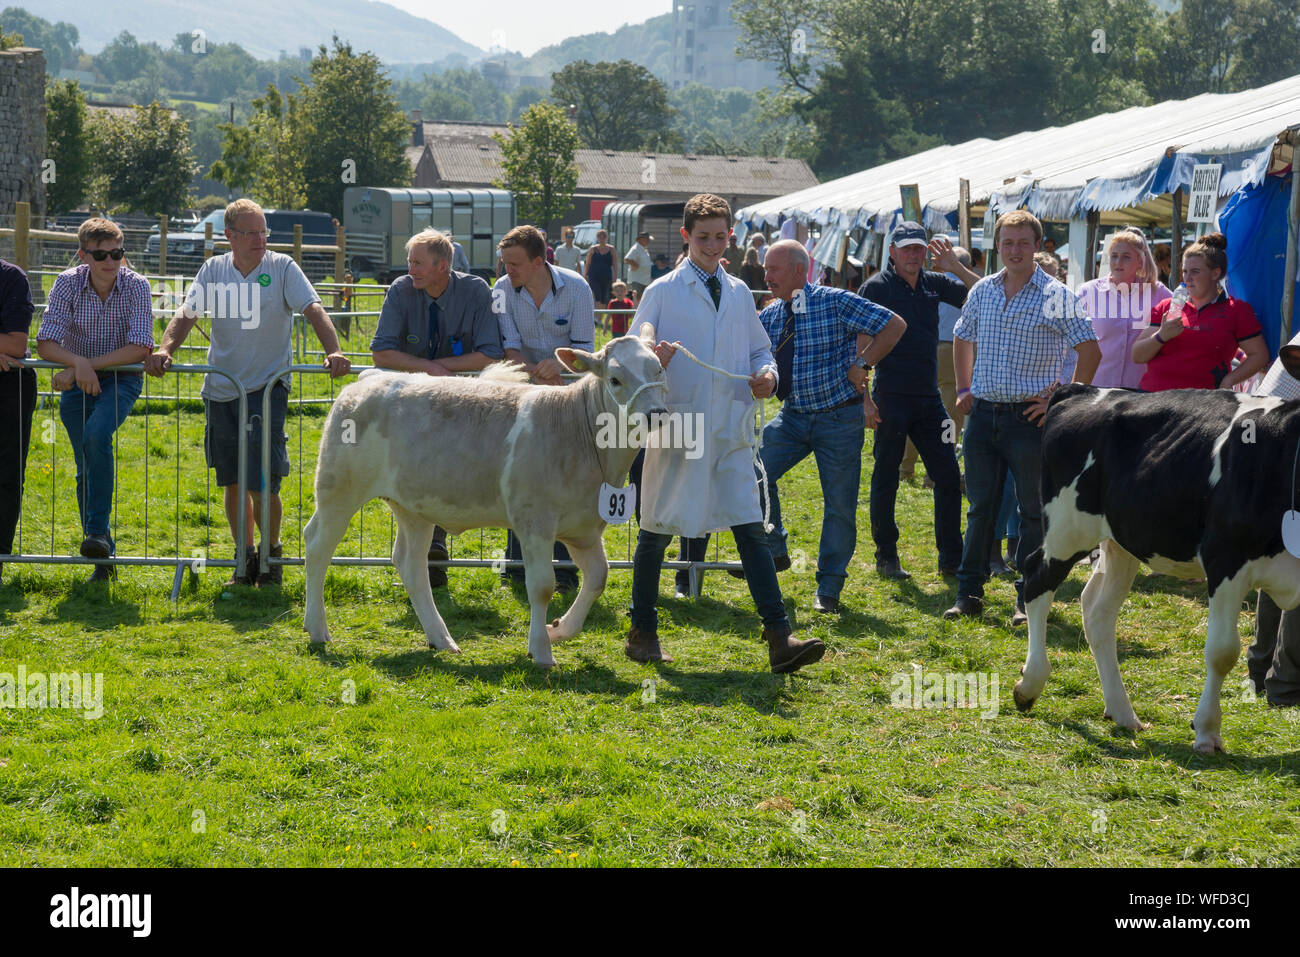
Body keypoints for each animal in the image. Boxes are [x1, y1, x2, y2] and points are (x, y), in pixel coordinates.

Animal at [1013, 345, 1300, 754]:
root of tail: (1083, 389)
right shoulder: (1226, 559)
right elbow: (1222, 651)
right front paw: (1207, 731)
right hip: (1068, 528)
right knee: (1037, 579)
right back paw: (1030, 684)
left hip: (1121, 541)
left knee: (1097, 611)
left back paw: (1121, 711)